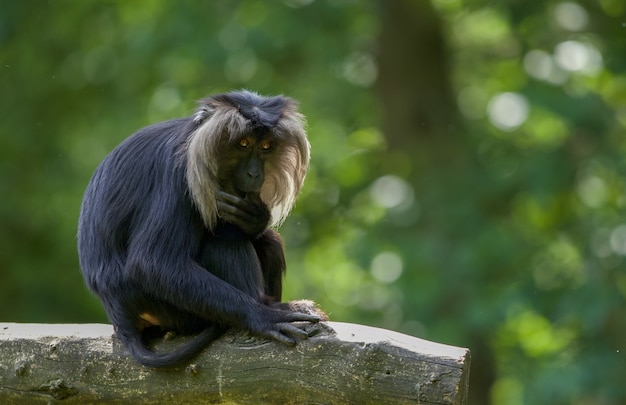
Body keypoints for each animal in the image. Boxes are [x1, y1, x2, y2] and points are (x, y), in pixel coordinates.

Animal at [77, 90, 326, 368]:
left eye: (265, 147)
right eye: (243, 144)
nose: (254, 173)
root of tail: (120, 317)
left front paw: (255, 217)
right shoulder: (180, 175)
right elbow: (151, 263)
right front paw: (263, 316)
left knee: (267, 241)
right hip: (169, 310)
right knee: (225, 238)